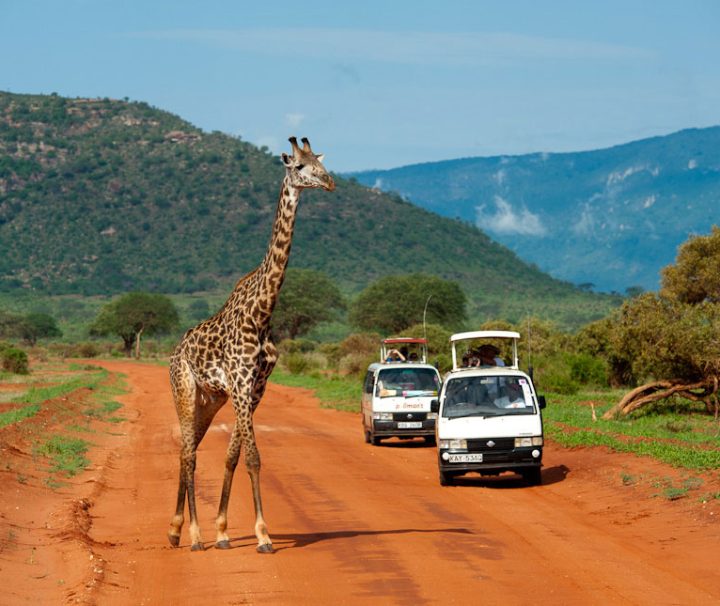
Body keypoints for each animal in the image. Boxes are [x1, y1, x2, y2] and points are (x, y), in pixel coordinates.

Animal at [167, 138, 336, 556]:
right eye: (298, 167)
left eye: (320, 163)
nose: (329, 183)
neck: (263, 311)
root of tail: (174, 351)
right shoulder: (242, 383)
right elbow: (254, 457)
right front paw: (263, 536)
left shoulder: (257, 386)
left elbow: (233, 456)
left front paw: (225, 531)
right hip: (184, 388)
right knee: (189, 454)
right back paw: (193, 536)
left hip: (211, 399)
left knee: (187, 450)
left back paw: (176, 530)